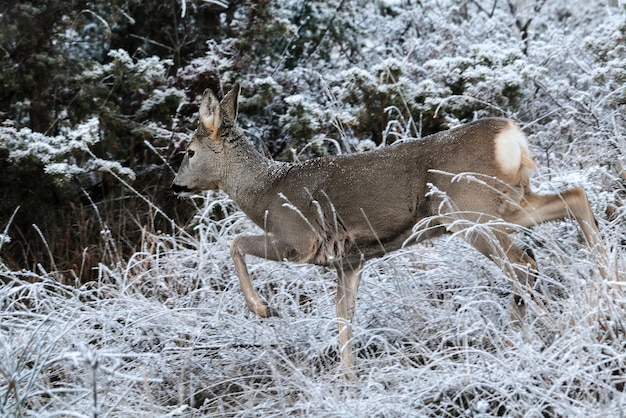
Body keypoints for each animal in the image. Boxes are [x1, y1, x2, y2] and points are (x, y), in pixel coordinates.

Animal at [168, 83, 608, 378]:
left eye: (189, 151)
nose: (175, 185)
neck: (264, 192)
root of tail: (510, 135)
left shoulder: (298, 239)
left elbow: (235, 242)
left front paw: (262, 309)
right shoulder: (349, 260)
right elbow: (344, 314)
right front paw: (347, 381)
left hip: (467, 208)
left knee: (523, 262)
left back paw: (534, 334)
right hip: (506, 202)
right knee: (574, 196)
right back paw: (607, 284)